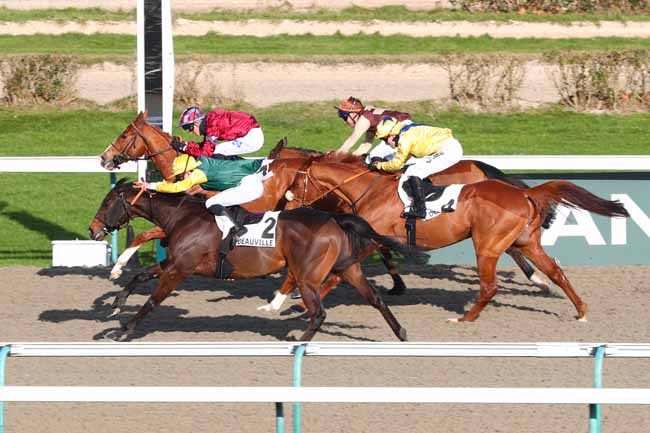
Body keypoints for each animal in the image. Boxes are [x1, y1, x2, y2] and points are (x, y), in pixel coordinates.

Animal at [87, 180, 410, 340]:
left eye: (107, 202)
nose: (92, 229)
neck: (181, 216)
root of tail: (334, 218)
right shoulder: (175, 263)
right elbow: (139, 275)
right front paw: (116, 304)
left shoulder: (179, 269)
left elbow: (152, 301)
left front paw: (123, 331)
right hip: (348, 267)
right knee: (375, 298)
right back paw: (401, 333)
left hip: (307, 276)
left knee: (318, 312)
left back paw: (299, 340)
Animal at [284, 154, 628, 322]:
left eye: (295, 182)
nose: (286, 206)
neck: (369, 188)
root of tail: (523, 193)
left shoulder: (374, 237)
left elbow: (335, 275)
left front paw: (293, 302)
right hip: (524, 241)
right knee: (555, 271)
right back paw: (579, 310)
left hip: (487, 245)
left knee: (489, 286)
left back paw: (464, 319)